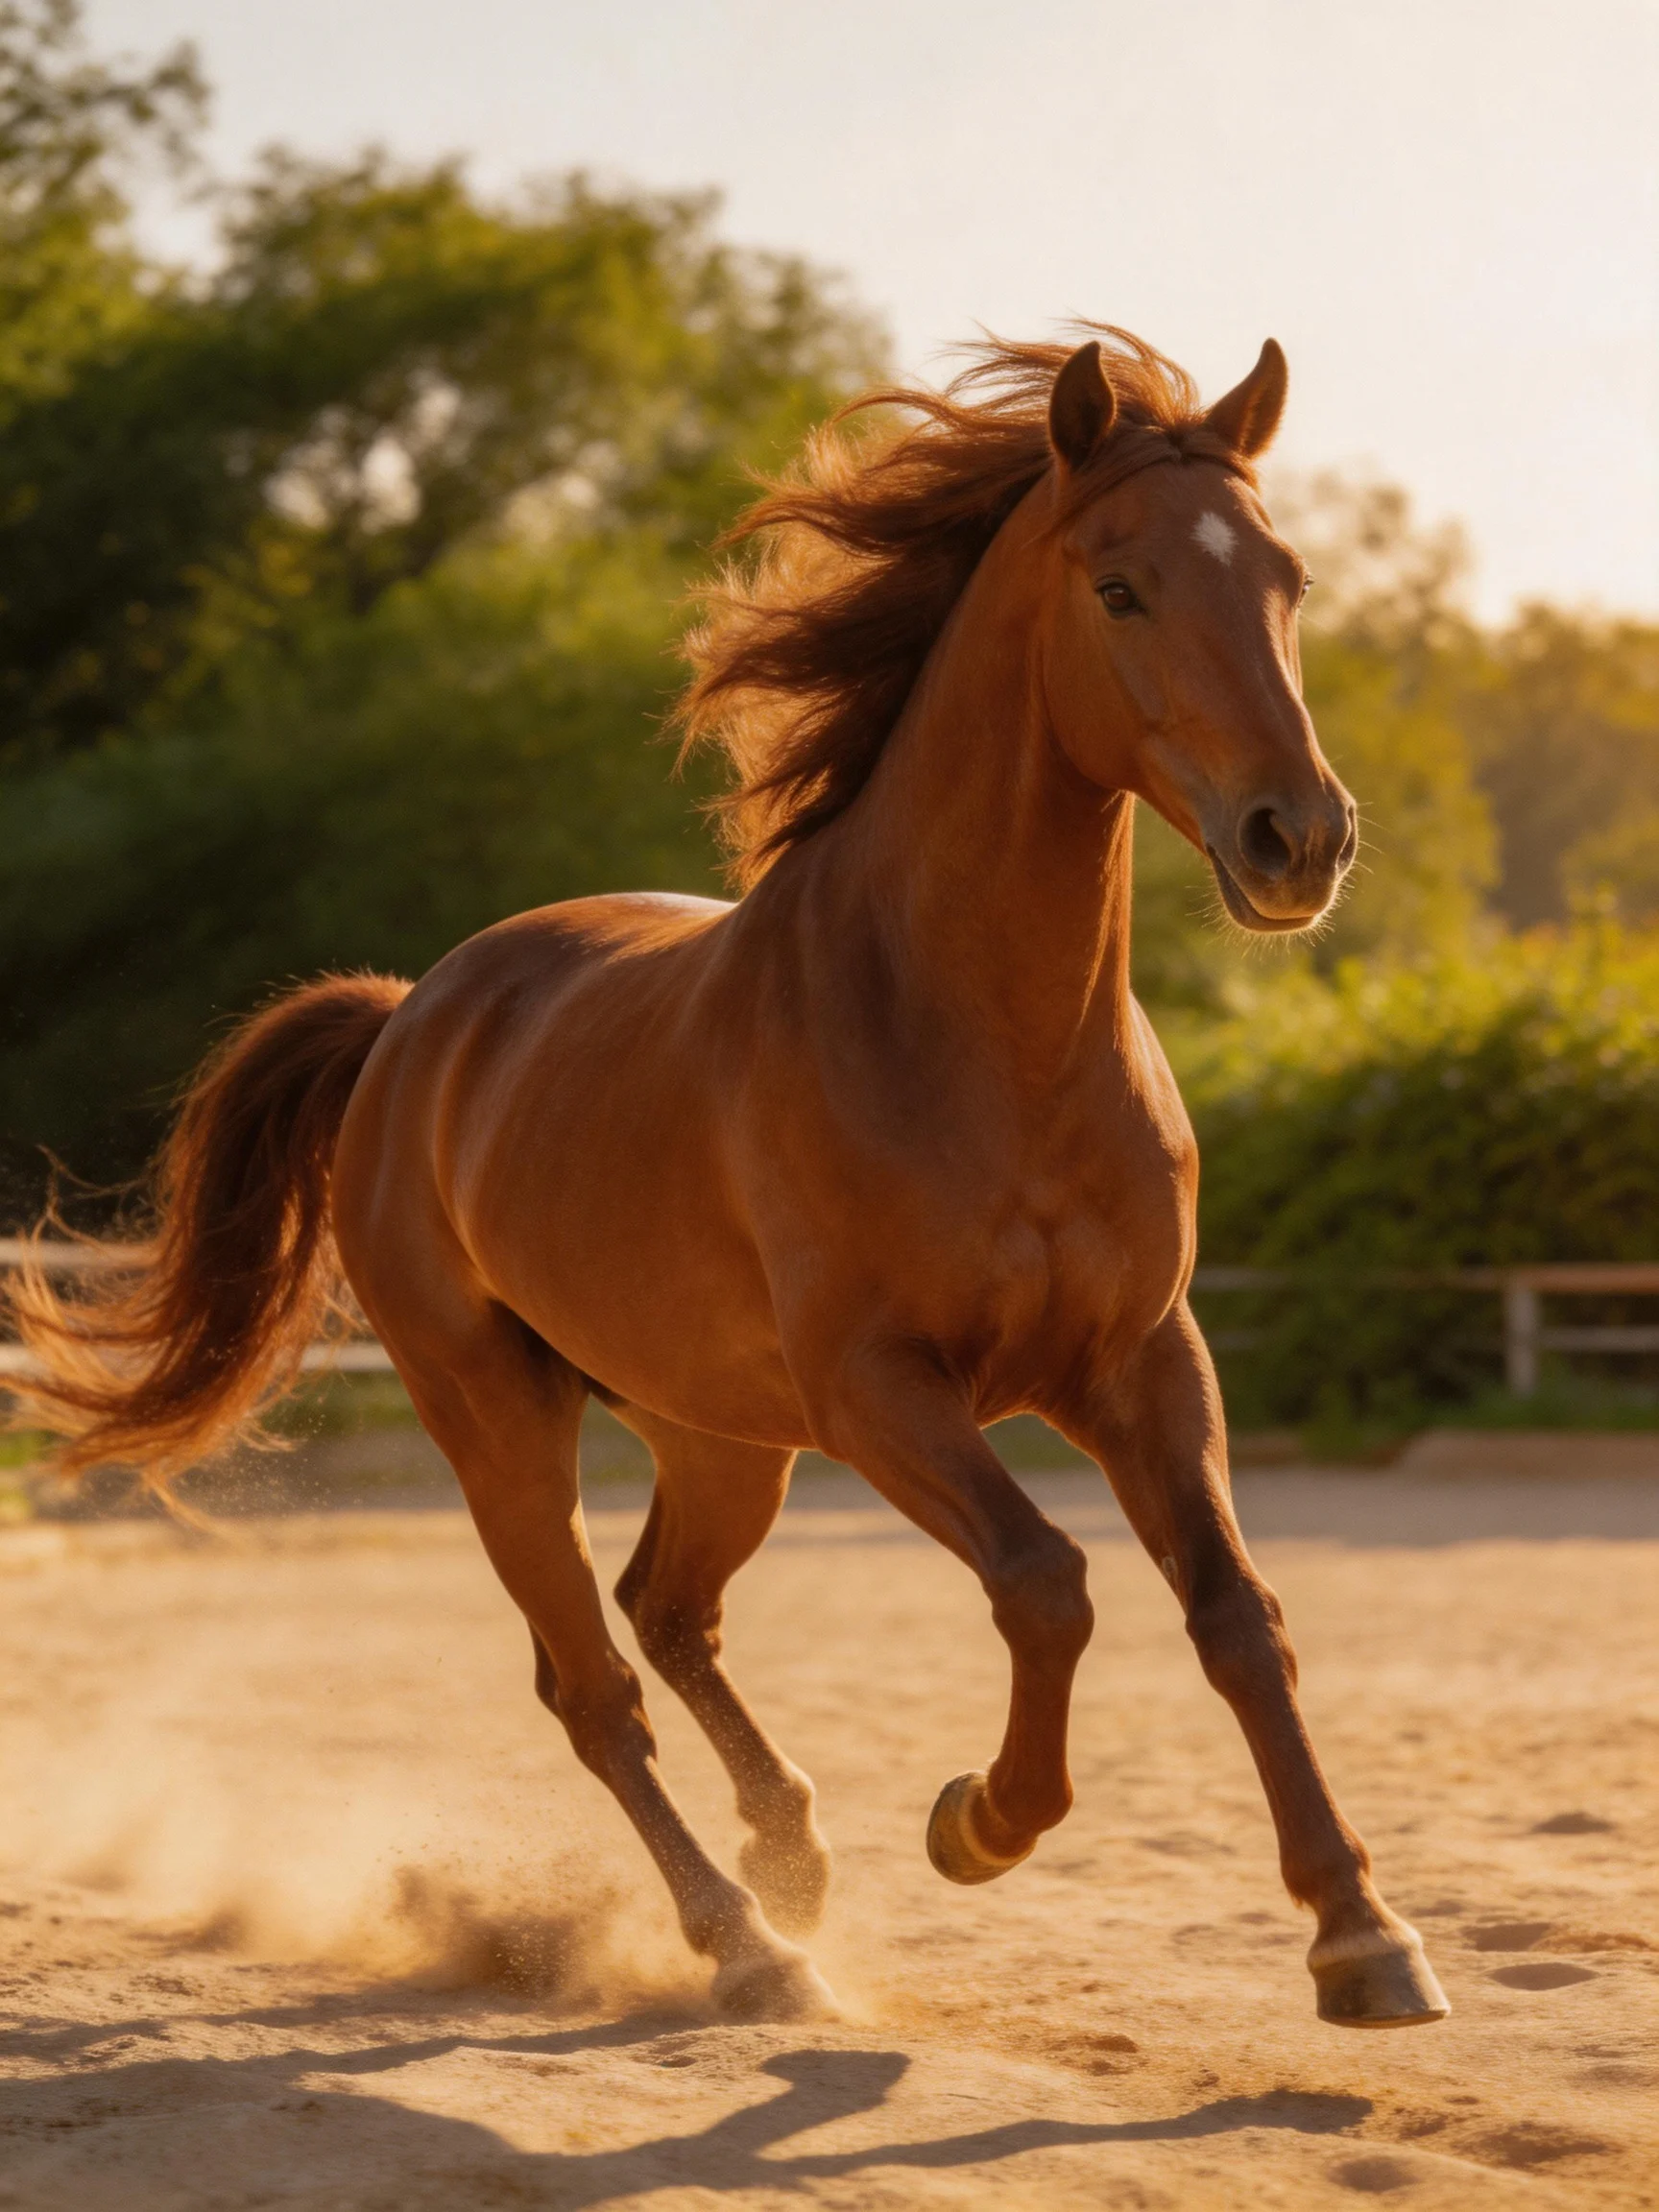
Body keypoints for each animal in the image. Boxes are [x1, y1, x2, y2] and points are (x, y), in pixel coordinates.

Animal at [12, 326, 1449, 2030]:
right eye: (1121, 588)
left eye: (1288, 578)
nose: (1300, 839)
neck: (981, 1039)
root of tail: (409, 1020)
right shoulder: (881, 1389)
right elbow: (1047, 1583)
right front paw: (979, 1822)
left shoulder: (1145, 1358)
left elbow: (1238, 1614)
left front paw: (1363, 1938)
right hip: (502, 1424)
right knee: (593, 1683)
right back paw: (752, 1945)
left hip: (718, 1435)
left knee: (667, 1611)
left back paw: (792, 1853)